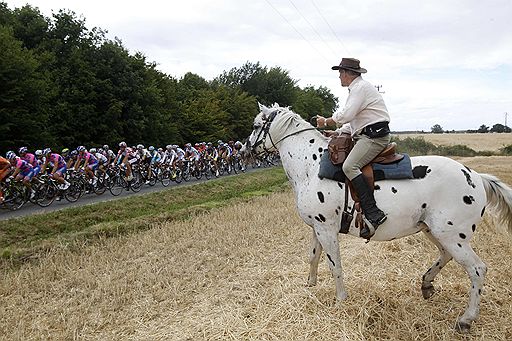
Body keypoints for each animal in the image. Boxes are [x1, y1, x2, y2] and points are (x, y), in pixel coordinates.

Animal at [242, 103, 512, 332]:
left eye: (255, 126)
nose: (244, 150)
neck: (311, 165)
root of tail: (475, 176)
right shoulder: (317, 228)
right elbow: (313, 257)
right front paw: (310, 285)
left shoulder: (326, 229)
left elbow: (335, 265)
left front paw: (340, 300)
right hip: (435, 231)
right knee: (446, 256)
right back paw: (426, 284)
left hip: (453, 236)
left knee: (477, 269)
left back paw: (466, 319)